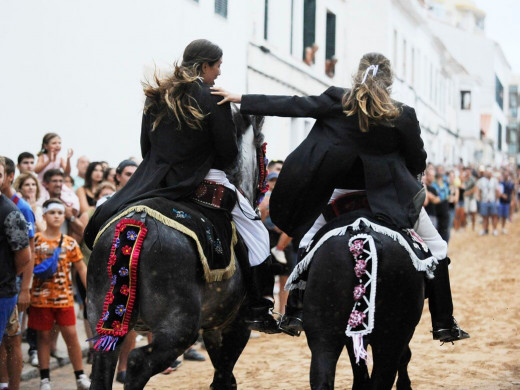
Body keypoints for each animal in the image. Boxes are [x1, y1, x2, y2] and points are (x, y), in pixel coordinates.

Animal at [87, 108, 264, 390]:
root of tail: (136, 224)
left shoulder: (213, 326)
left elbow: (222, 375)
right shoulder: (236, 325)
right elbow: (225, 373)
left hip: (103, 325)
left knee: (104, 366)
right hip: (178, 330)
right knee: (137, 362)